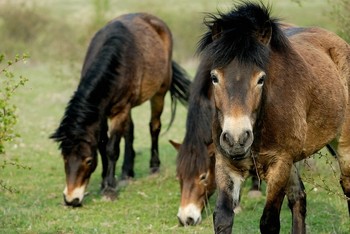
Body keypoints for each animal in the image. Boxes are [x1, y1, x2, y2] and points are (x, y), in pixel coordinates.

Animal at [50, 12, 190, 207]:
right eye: (64, 157)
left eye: (88, 160)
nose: (71, 199)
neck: (117, 62)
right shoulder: (101, 114)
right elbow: (103, 145)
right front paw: (104, 182)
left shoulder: (119, 111)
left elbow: (111, 149)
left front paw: (110, 188)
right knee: (129, 131)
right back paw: (127, 172)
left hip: (159, 93)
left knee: (154, 127)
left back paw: (154, 166)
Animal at [197, 2, 350, 234]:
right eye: (214, 77)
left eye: (261, 79)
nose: (237, 139)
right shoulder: (225, 164)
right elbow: (223, 218)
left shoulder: (279, 165)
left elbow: (269, 222)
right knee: (298, 197)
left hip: (342, 146)